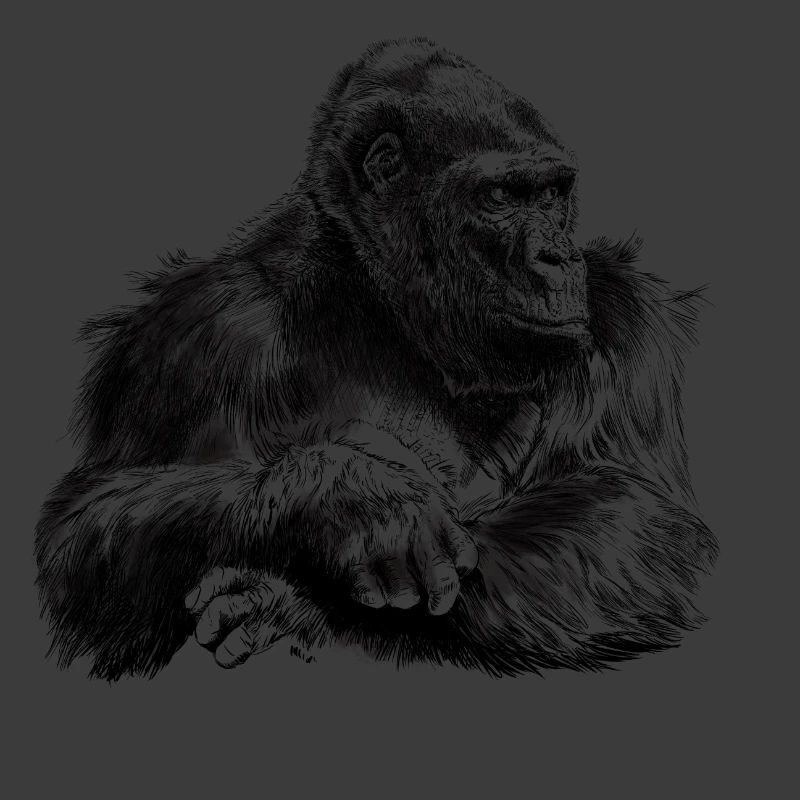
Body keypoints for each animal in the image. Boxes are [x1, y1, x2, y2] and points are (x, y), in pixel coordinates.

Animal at [35, 37, 718, 679]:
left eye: (551, 194)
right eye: (502, 196)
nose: (559, 257)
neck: (379, 301)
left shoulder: (624, 316)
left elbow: (640, 519)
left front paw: (302, 604)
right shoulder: (196, 328)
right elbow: (87, 538)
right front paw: (348, 501)